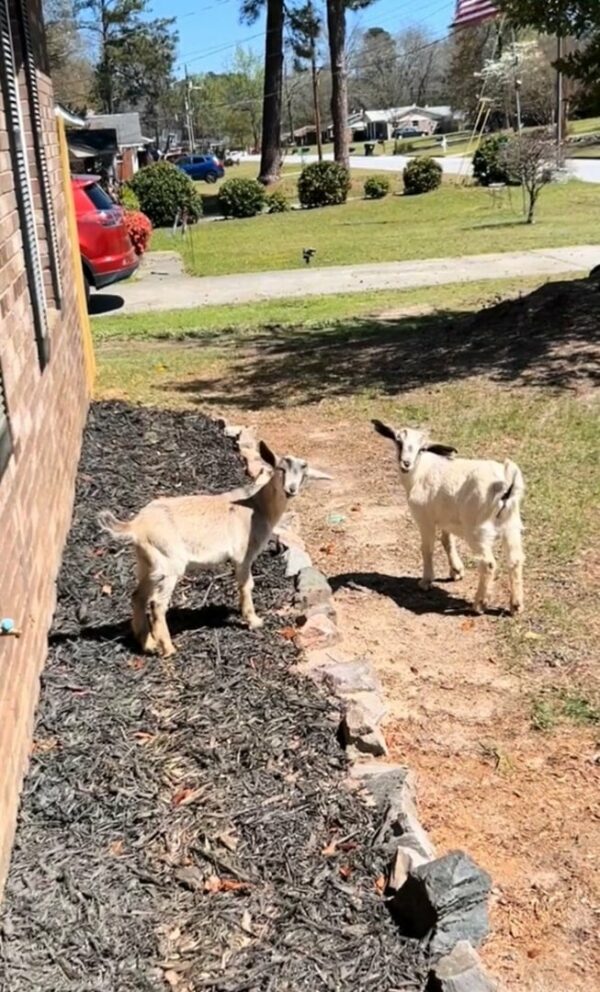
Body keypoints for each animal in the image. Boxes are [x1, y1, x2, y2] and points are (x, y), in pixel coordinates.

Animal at [99, 438, 332, 656]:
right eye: (281, 469)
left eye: (304, 473)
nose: (290, 489)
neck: (258, 506)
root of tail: (136, 526)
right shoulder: (243, 555)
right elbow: (247, 585)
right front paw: (254, 620)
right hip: (169, 562)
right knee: (157, 603)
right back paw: (168, 649)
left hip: (148, 563)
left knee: (138, 596)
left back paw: (147, 644)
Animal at [372, 422, 524, 616]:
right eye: (398, 441)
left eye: (422, 448)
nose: (406, 463)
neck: (420, 472)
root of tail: (505, 485)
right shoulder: (446, 518)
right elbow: (447, 541)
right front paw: (456, 571)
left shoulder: (425, 518)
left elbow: (427, 548)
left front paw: (426, 581)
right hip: (511, 525)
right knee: (515, 560)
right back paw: (516, 605)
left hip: (477, 529)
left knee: (488, 564)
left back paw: (479, 604)